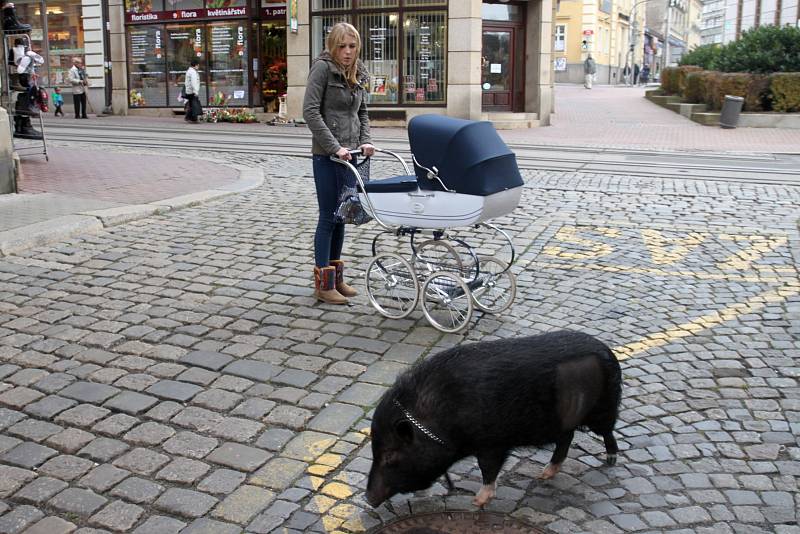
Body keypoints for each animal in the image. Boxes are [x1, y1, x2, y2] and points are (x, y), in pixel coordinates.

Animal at [366, 330, 620, 510]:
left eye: (389, 455)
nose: (368, 498)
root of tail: (607, 350)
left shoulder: (492, 443)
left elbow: (488, 469)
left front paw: (477, 502)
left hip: (604, 407)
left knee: (607, 432)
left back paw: (610, 460)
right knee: (567, 438)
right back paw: (544, 474)